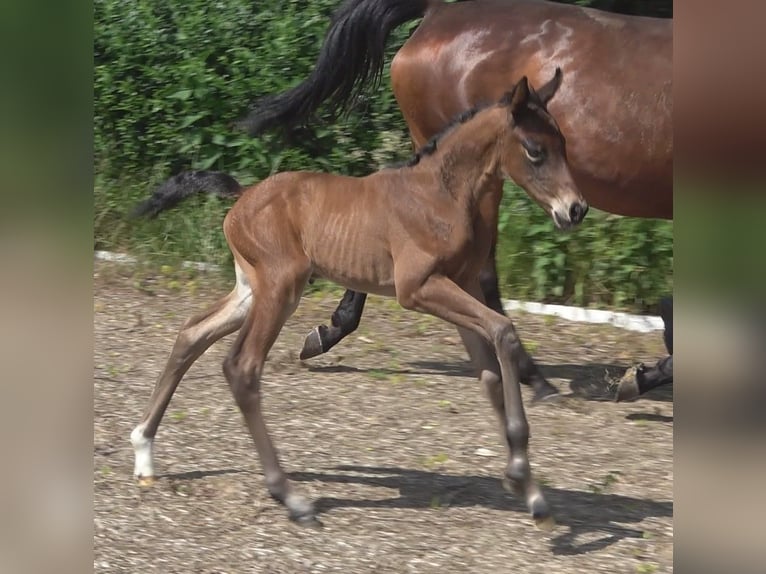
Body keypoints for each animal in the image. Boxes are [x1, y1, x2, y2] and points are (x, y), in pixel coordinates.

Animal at [130, 72, 588, 532]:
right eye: (535, 150)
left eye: (565, 143)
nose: (575, 209)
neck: (442, 194)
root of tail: (243, 195)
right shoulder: (418, 288)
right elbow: (504, 331)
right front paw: (521, 475)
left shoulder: (464, 286)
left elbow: (490, 372)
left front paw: (531, 493)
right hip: (281, 288)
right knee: (241, 366)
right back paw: (291, 498)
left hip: (251, 290)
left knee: (193, 332)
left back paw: (144, 450)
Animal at [238, 0, 672, 404]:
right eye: (535, 150)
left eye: (564, 145)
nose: (576, 208)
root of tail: (437, 11)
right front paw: (640, 377)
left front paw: (642, 374)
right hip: (464, 165)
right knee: (481, 272)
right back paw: (534, 378)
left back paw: (330, 331)